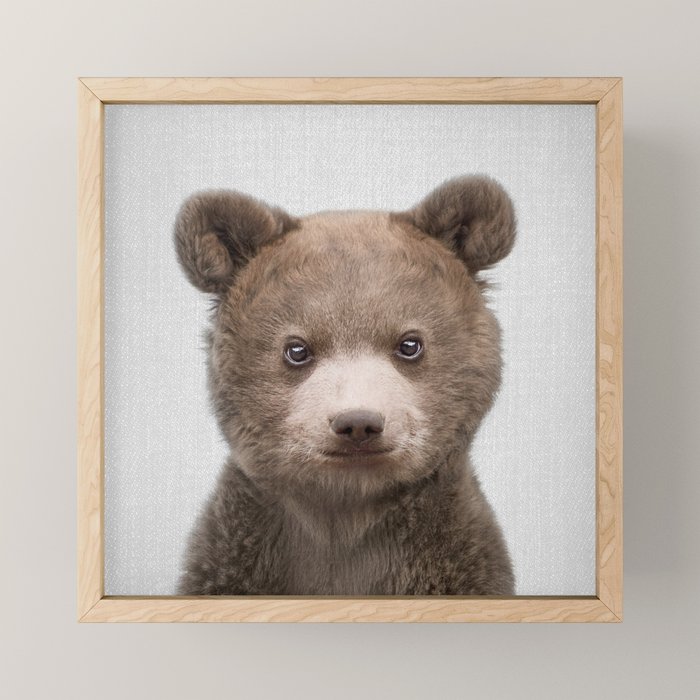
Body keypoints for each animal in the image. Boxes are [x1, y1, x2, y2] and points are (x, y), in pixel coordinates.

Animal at [175, 175, 516, 596]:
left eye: (409, 344)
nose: (358, 422)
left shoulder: (456, 558)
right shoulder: (237, 555)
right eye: (297, 349)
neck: (346, 512)